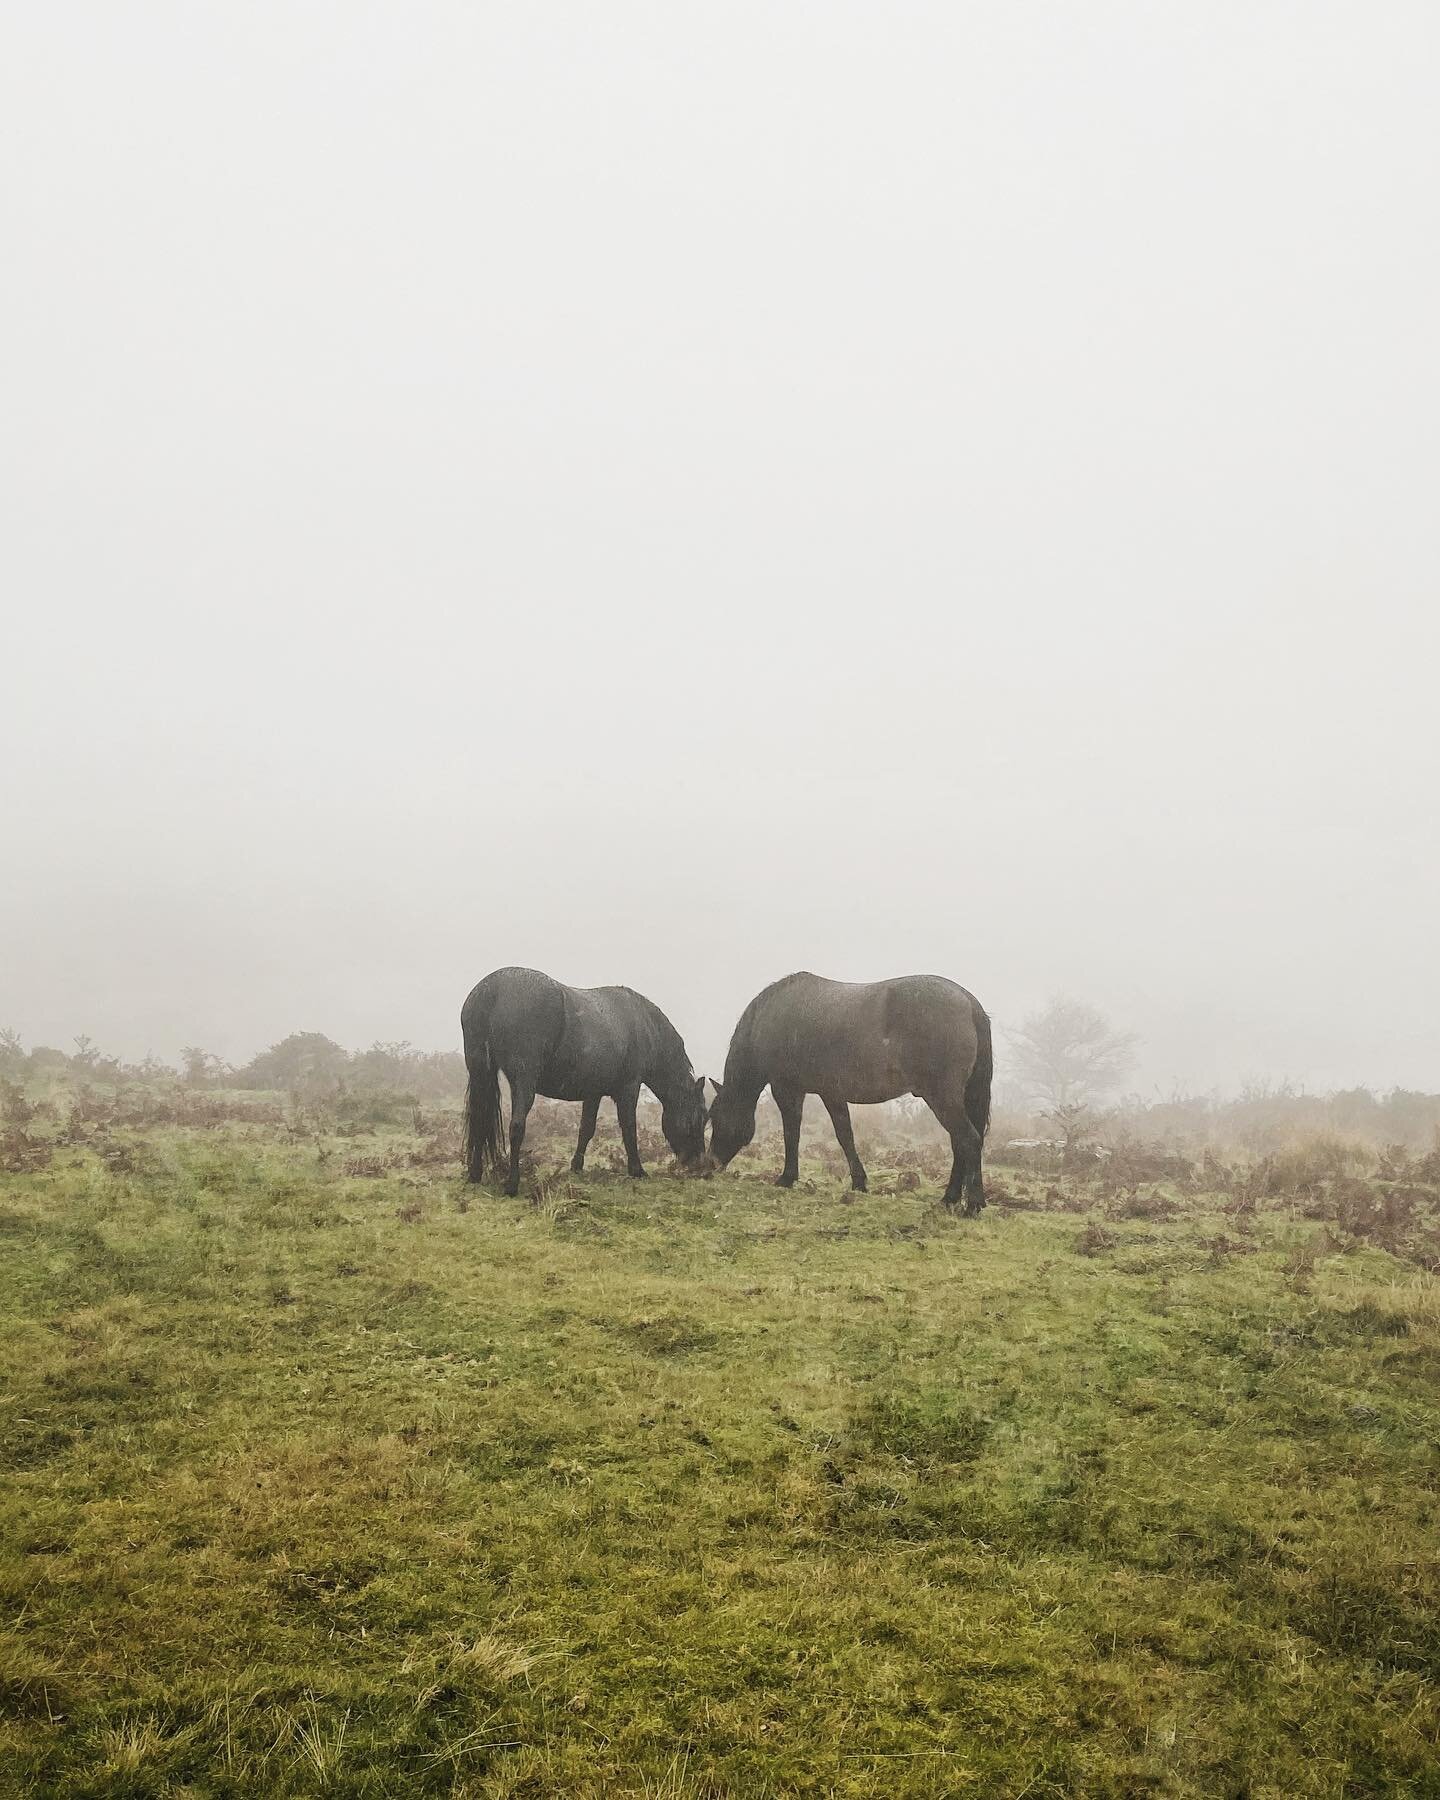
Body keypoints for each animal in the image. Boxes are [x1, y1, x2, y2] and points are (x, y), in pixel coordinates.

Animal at [460, 964, 709, 1202]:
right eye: (699, 1117)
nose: (699, 1165)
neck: (642, 1025)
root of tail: (492, 990)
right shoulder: (629, 1088)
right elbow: (629, 1128)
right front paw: (637, 1170)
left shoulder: (593, 1093)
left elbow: (586, 1129)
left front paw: (576, 1166)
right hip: (523, 1082)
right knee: (516, 1127)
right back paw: (512, 1184)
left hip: (481, 1073)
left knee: (479, 1120)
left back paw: (475, 1174)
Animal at [705, 979, 993, 1216]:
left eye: (715, 1117)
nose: (708, 1166)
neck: (769, 1019)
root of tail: (970, 1003)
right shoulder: (831, 1093)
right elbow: (845, 1135)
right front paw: (859, 1182)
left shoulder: (787, 1090)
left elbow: (792, 1133)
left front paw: (786, 1178)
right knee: (960, 1143)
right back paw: (949, 1199)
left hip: (942, 1098)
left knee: (968, 1140)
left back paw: (972, 1204)